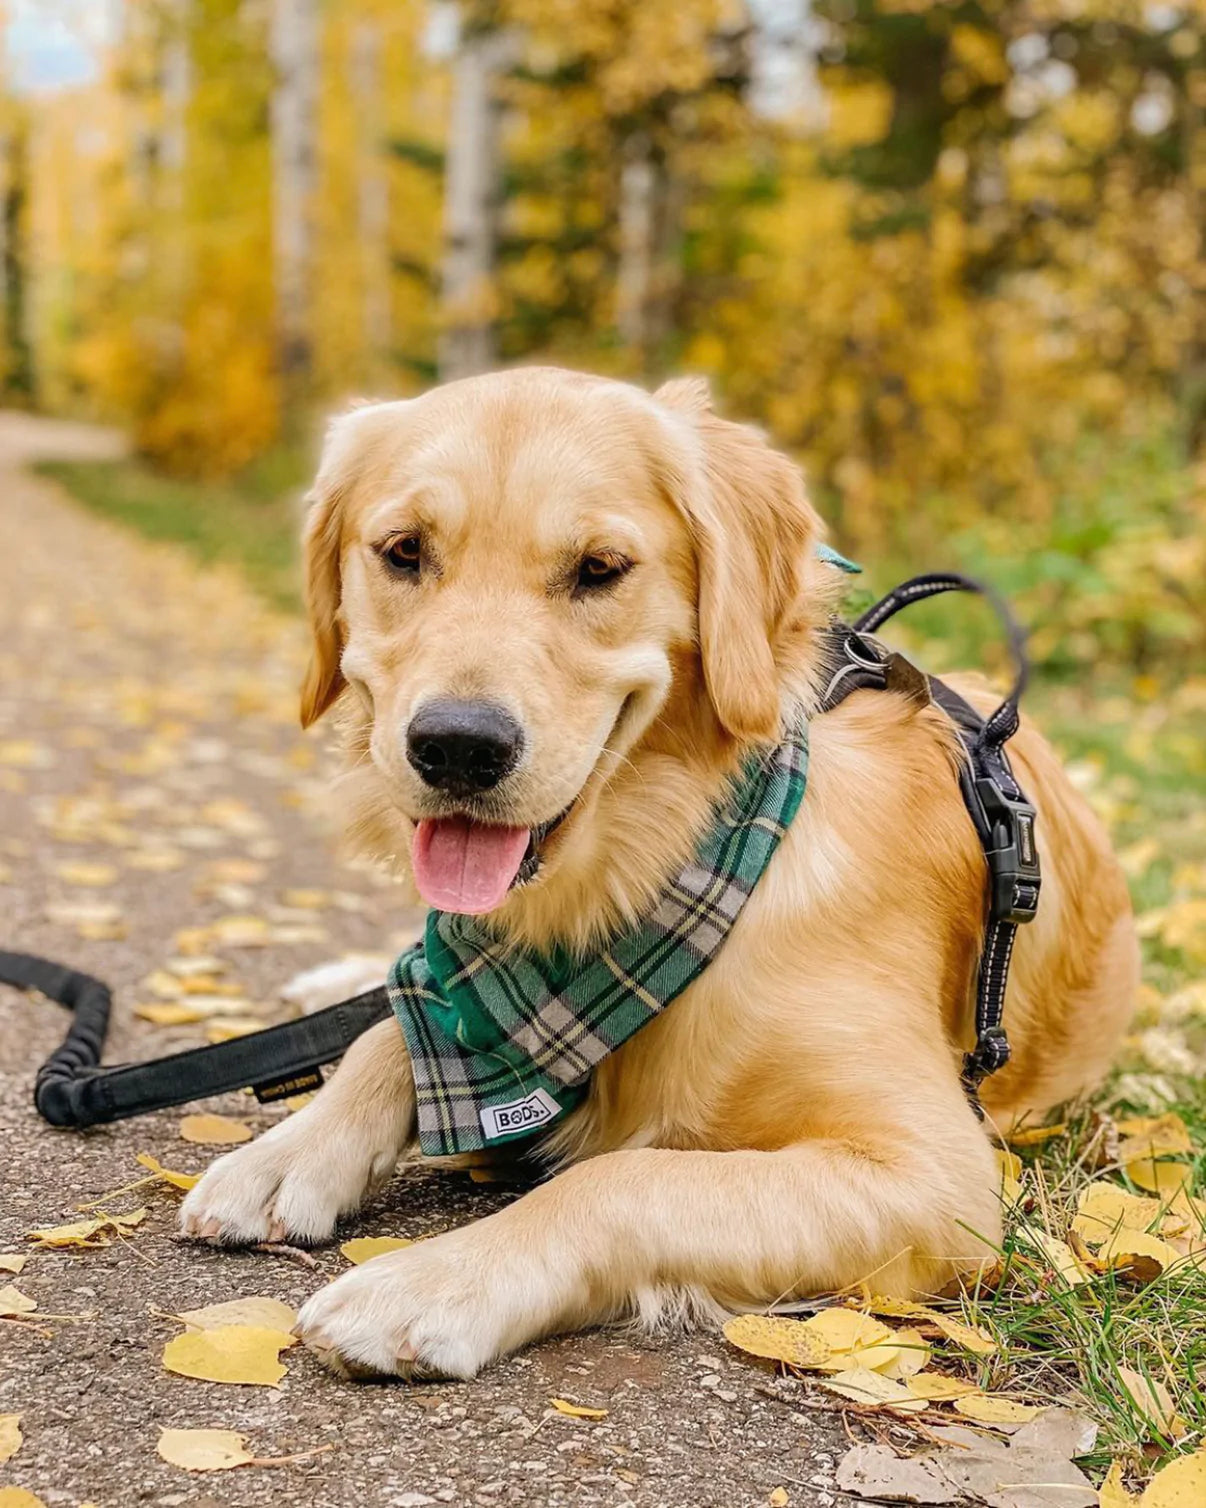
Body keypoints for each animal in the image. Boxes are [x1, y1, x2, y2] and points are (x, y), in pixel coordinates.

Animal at [176, 364, 1133, 1381]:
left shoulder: (936, 1174)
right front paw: (285, 1154)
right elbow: (390, 1030)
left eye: (600, 568)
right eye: (403, 552)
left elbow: (620, 1175)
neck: (652, 877)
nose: (457, 747)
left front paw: (430, 1281)